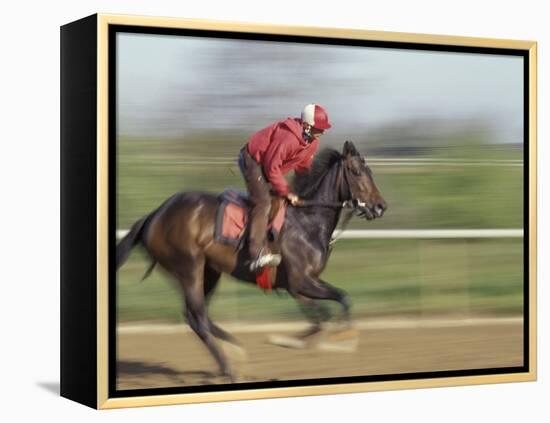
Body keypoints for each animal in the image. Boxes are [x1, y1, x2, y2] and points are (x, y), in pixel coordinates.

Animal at [116, 141, 388, 382]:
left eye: (371, 171)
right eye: (357, 172)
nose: (380, 206)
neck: (307, 221)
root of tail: (155, 214)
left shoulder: (298, 286)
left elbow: (322, 317)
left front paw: (298, 340)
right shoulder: (301, 281)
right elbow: (339, 302)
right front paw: (342, 340)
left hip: (210, 272)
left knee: (194, 316)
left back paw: (235, 350)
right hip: (189, 266)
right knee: (198, 317)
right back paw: (230, 368)